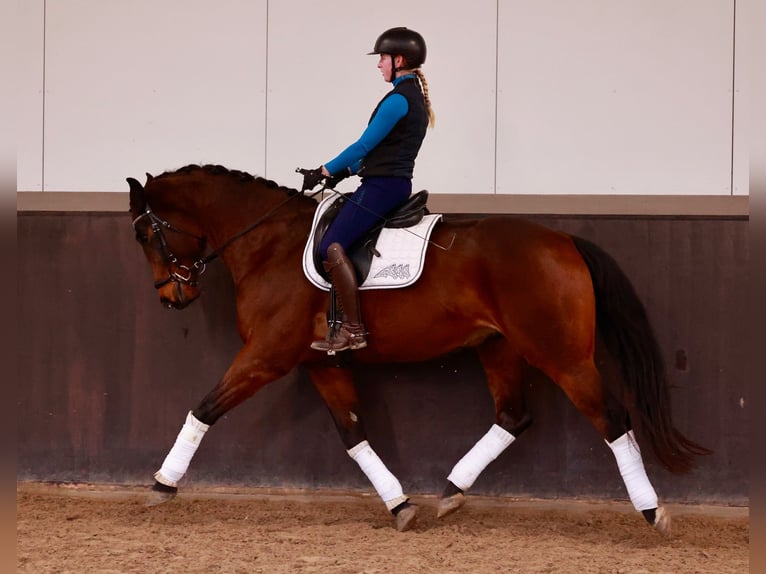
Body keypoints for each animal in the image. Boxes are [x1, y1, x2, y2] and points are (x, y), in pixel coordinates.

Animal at [126, 163, 708, 536]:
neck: (271, 243)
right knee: (513, 416)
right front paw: (400, 505)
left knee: (611, 418)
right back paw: (450, 491)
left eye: (145, 235)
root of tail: (562, 241)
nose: (173, 297)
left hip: (562, 356)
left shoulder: (267, 357)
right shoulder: (320, 363)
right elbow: (353, 433)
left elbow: (203, 408)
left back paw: (653, 512)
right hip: (498, 348)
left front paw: (162, 484)